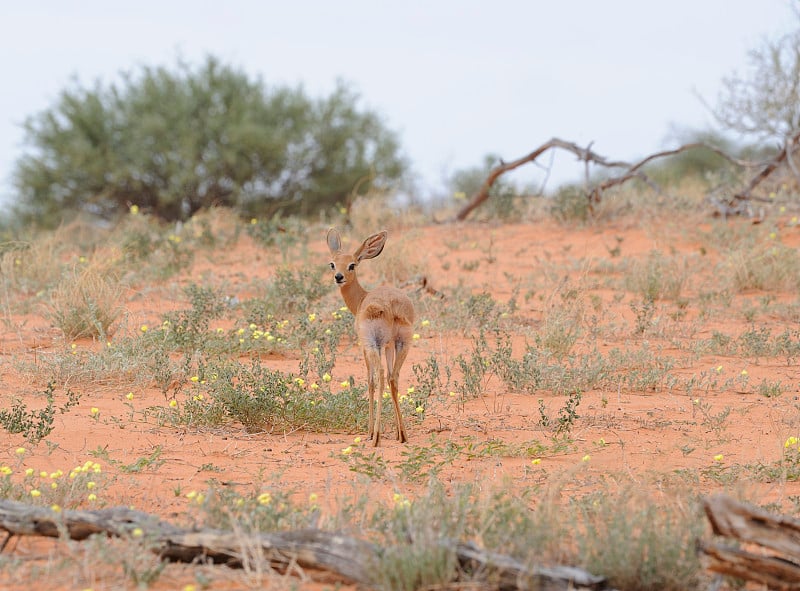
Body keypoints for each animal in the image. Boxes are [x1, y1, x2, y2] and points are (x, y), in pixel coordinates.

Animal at [324, 229, 416, 446]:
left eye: (352, 264)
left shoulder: (365, 347)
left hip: (374, 345)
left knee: (380, 375)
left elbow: (370, 381)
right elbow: (390, 379)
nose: (338, 277)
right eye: (332, 263)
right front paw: (396, 433)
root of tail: (391, 306)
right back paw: (403, 435)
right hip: (403, 344)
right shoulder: (389, 346)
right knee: (393, 377)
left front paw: (369, 431)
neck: (361, 299)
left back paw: (376, 437)